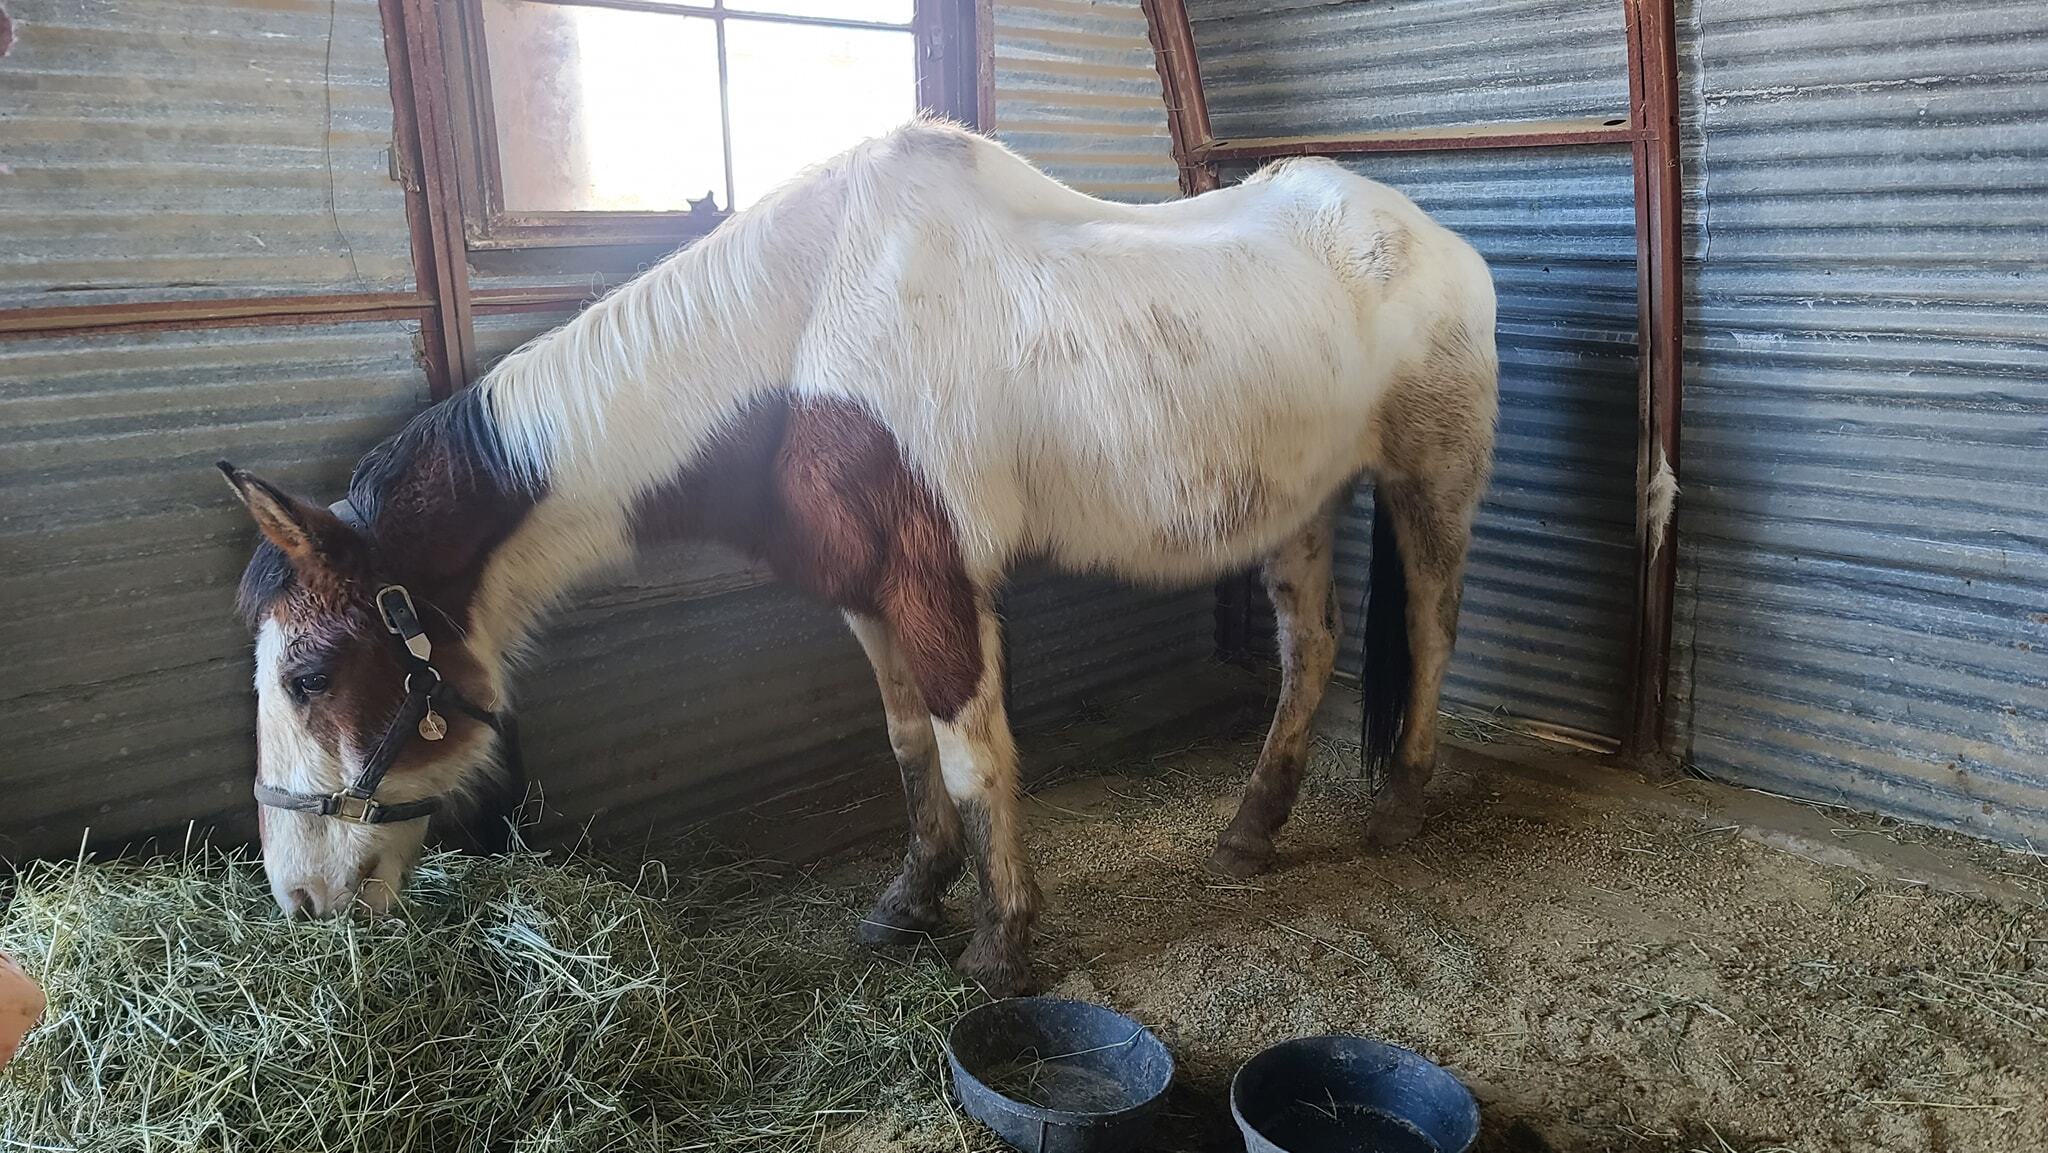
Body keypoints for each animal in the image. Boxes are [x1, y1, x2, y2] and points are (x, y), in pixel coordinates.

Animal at [224, 121, 1499, 995]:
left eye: (308, 675)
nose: (300, 894)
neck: (799, 332)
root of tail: (1433, 238)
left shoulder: (934, 584)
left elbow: (975, 758)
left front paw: (1000, 941)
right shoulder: (865, 592)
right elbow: (905, 749)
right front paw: (906, 901)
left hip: (1427, 483)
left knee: (1432, 626)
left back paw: (1399, 804)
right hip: (1297, 504)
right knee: (1308, 651)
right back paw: (1247, 833)